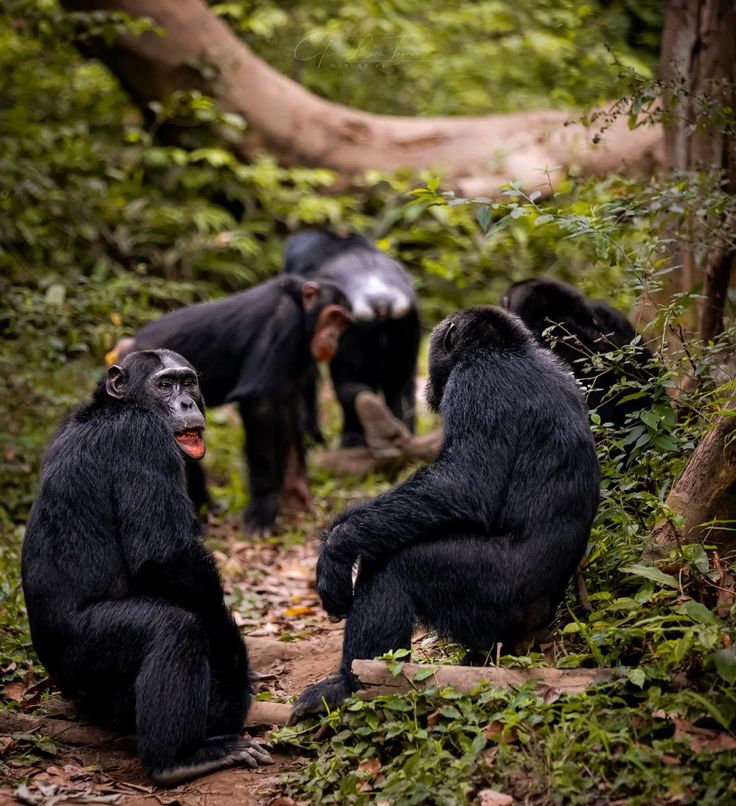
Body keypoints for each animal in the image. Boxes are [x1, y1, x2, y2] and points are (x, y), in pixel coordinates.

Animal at [22, 350, 274, 784]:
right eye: (165, 385)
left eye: (188, 382)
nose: (186, 403)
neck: (118, 408)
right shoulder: (143, 440)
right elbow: (166, 558)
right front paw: (233, 677)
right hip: (84, 658)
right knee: (174, 629)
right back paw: (177, 760)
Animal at [117, 276, 350, 536]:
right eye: (332, 316)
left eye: (343, 322)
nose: (334, 336)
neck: (300, 308)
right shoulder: (280, 322)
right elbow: (261, 406)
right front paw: (262, 511)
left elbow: (288, 409)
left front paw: (299, 496)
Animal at [282, 230, 420, 448]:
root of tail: (382, 301)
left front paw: (311, 438)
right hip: (405, 325)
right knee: (398, 389)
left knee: (350, 385)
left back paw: (353, 439)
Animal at [290, 304, 600, 720]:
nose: (427, 381)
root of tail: (539, 626)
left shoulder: (477, 384)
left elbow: (462, 484)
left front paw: (336, 550)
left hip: (493, 596)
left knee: (396, 570)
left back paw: (349, 686)